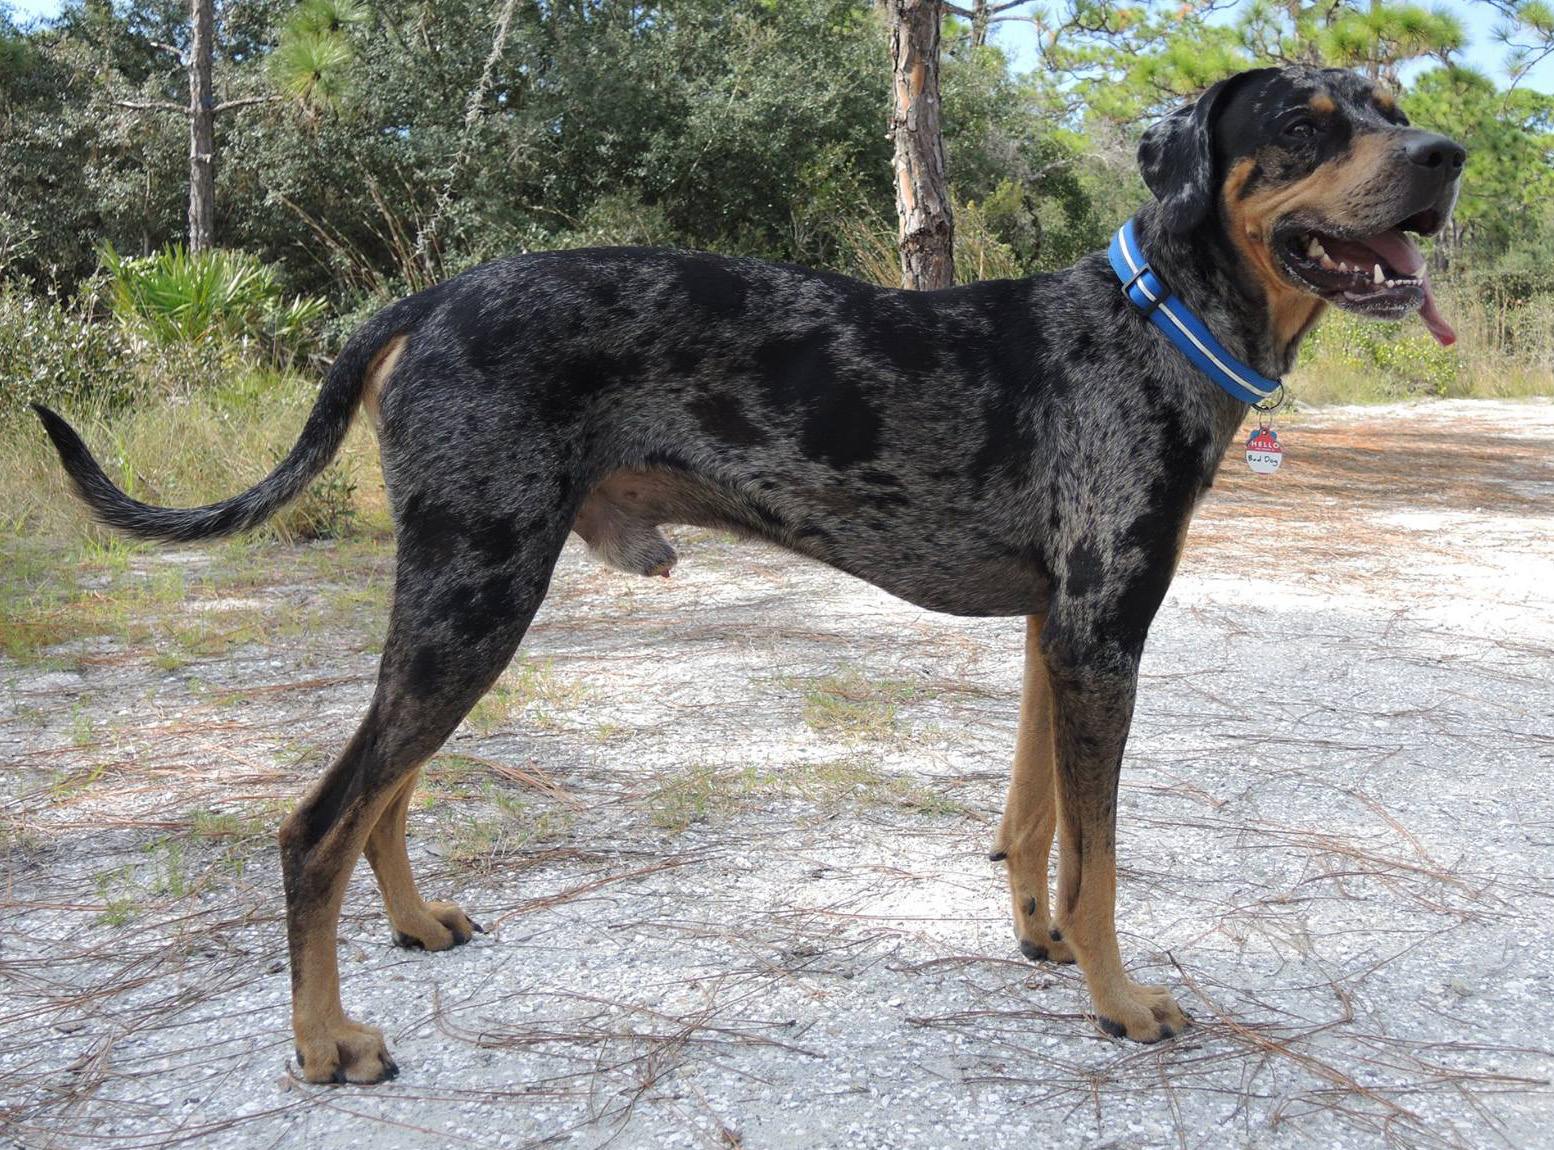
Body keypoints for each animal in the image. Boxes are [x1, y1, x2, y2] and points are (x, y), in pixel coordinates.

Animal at [39, 67, 1466, 1081]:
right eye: (1308, 124)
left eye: (1392, 112)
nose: (1446, 157)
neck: (1153, 320)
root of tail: (431, 297)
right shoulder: (1103, 634)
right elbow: (1102, 854)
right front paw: (1117, 999)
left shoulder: (1054, 631)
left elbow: (1037, 824)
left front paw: (1041, 941)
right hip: (476, 599)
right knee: (317, 823)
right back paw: (324, 1041)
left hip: (461, 604)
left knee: (382, 791)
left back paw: (415, 921)